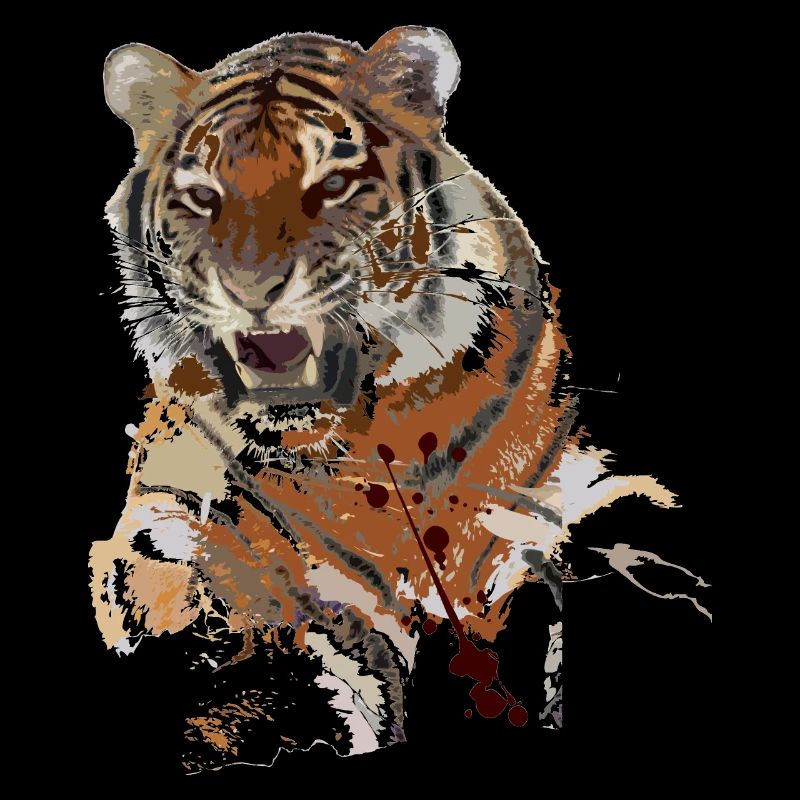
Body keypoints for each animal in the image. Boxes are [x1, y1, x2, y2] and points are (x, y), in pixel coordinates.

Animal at [90, 26, 684, 772]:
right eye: (202, 196)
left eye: (333, 185)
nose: (252, 290)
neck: (366, 452)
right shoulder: (177, 518)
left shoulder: (566, 496)